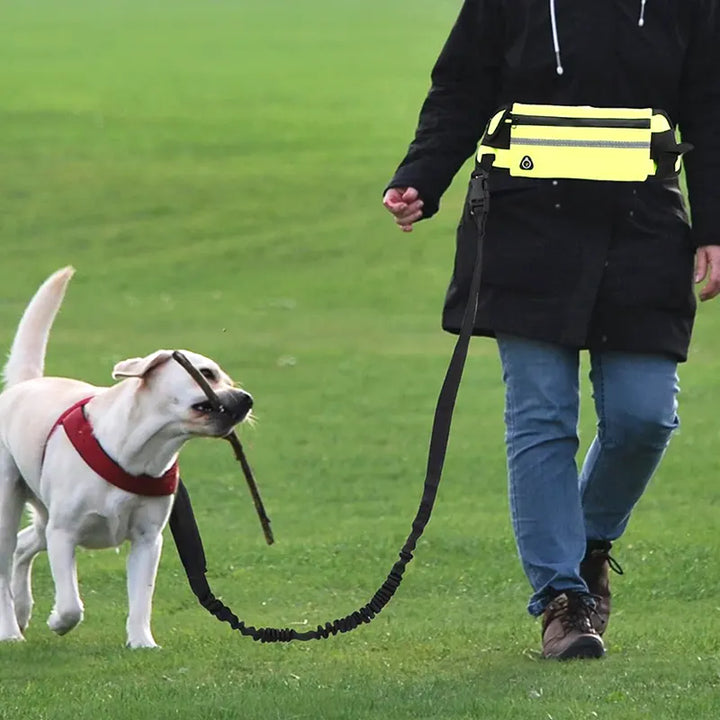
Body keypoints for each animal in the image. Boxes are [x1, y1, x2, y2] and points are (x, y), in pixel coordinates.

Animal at [0, 268, 253, 648]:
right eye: (207, 374)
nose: (247, 399)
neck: (139, 454)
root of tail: (22, 386)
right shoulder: (64, 532)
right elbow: (71, 604)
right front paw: (58, 620)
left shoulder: (148, 540)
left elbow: (141, 597)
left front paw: (142, 643)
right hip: (9, 508)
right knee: (7, 562)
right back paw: (10, 631)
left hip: (42, 517)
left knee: (24, 545)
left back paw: (22, 610)